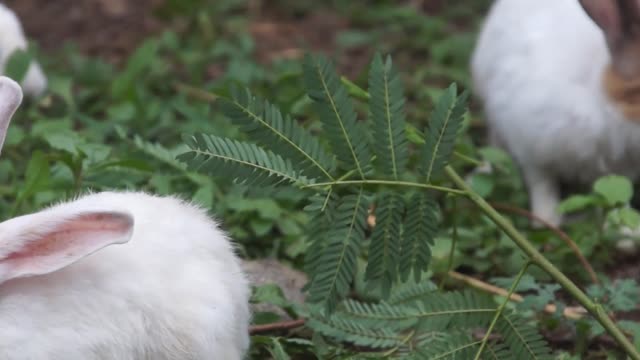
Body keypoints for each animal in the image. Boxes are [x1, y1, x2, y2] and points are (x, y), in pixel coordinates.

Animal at [470, 0, 640, 225]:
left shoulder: (616, 174)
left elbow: (616, 201)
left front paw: (626, 231)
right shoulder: (529, 144)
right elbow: (542, 185)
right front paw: (546, 222)